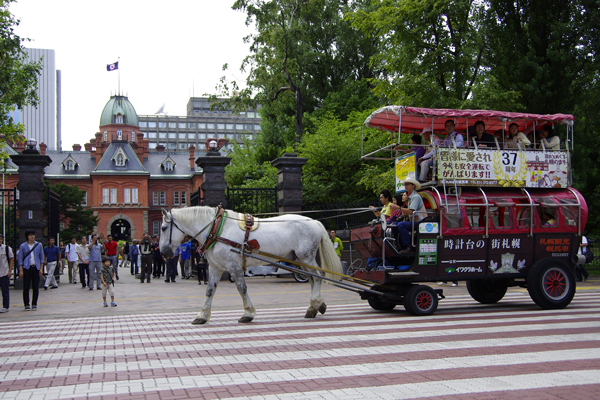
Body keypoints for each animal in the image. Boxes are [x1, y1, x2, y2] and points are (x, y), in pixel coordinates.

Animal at [159, 208, 342, 324]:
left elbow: (242, 288)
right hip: (300, 259)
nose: (163, 252)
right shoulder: (215, 268)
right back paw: (313, 308)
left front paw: (247, 313)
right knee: (312, 278)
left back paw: (316, 304)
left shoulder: (234, 266)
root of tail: (315, 222)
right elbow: (210, 291)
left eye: (163, 227)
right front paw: (202, 316)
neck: (218, 229)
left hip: (306, 257)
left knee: (318, 277)